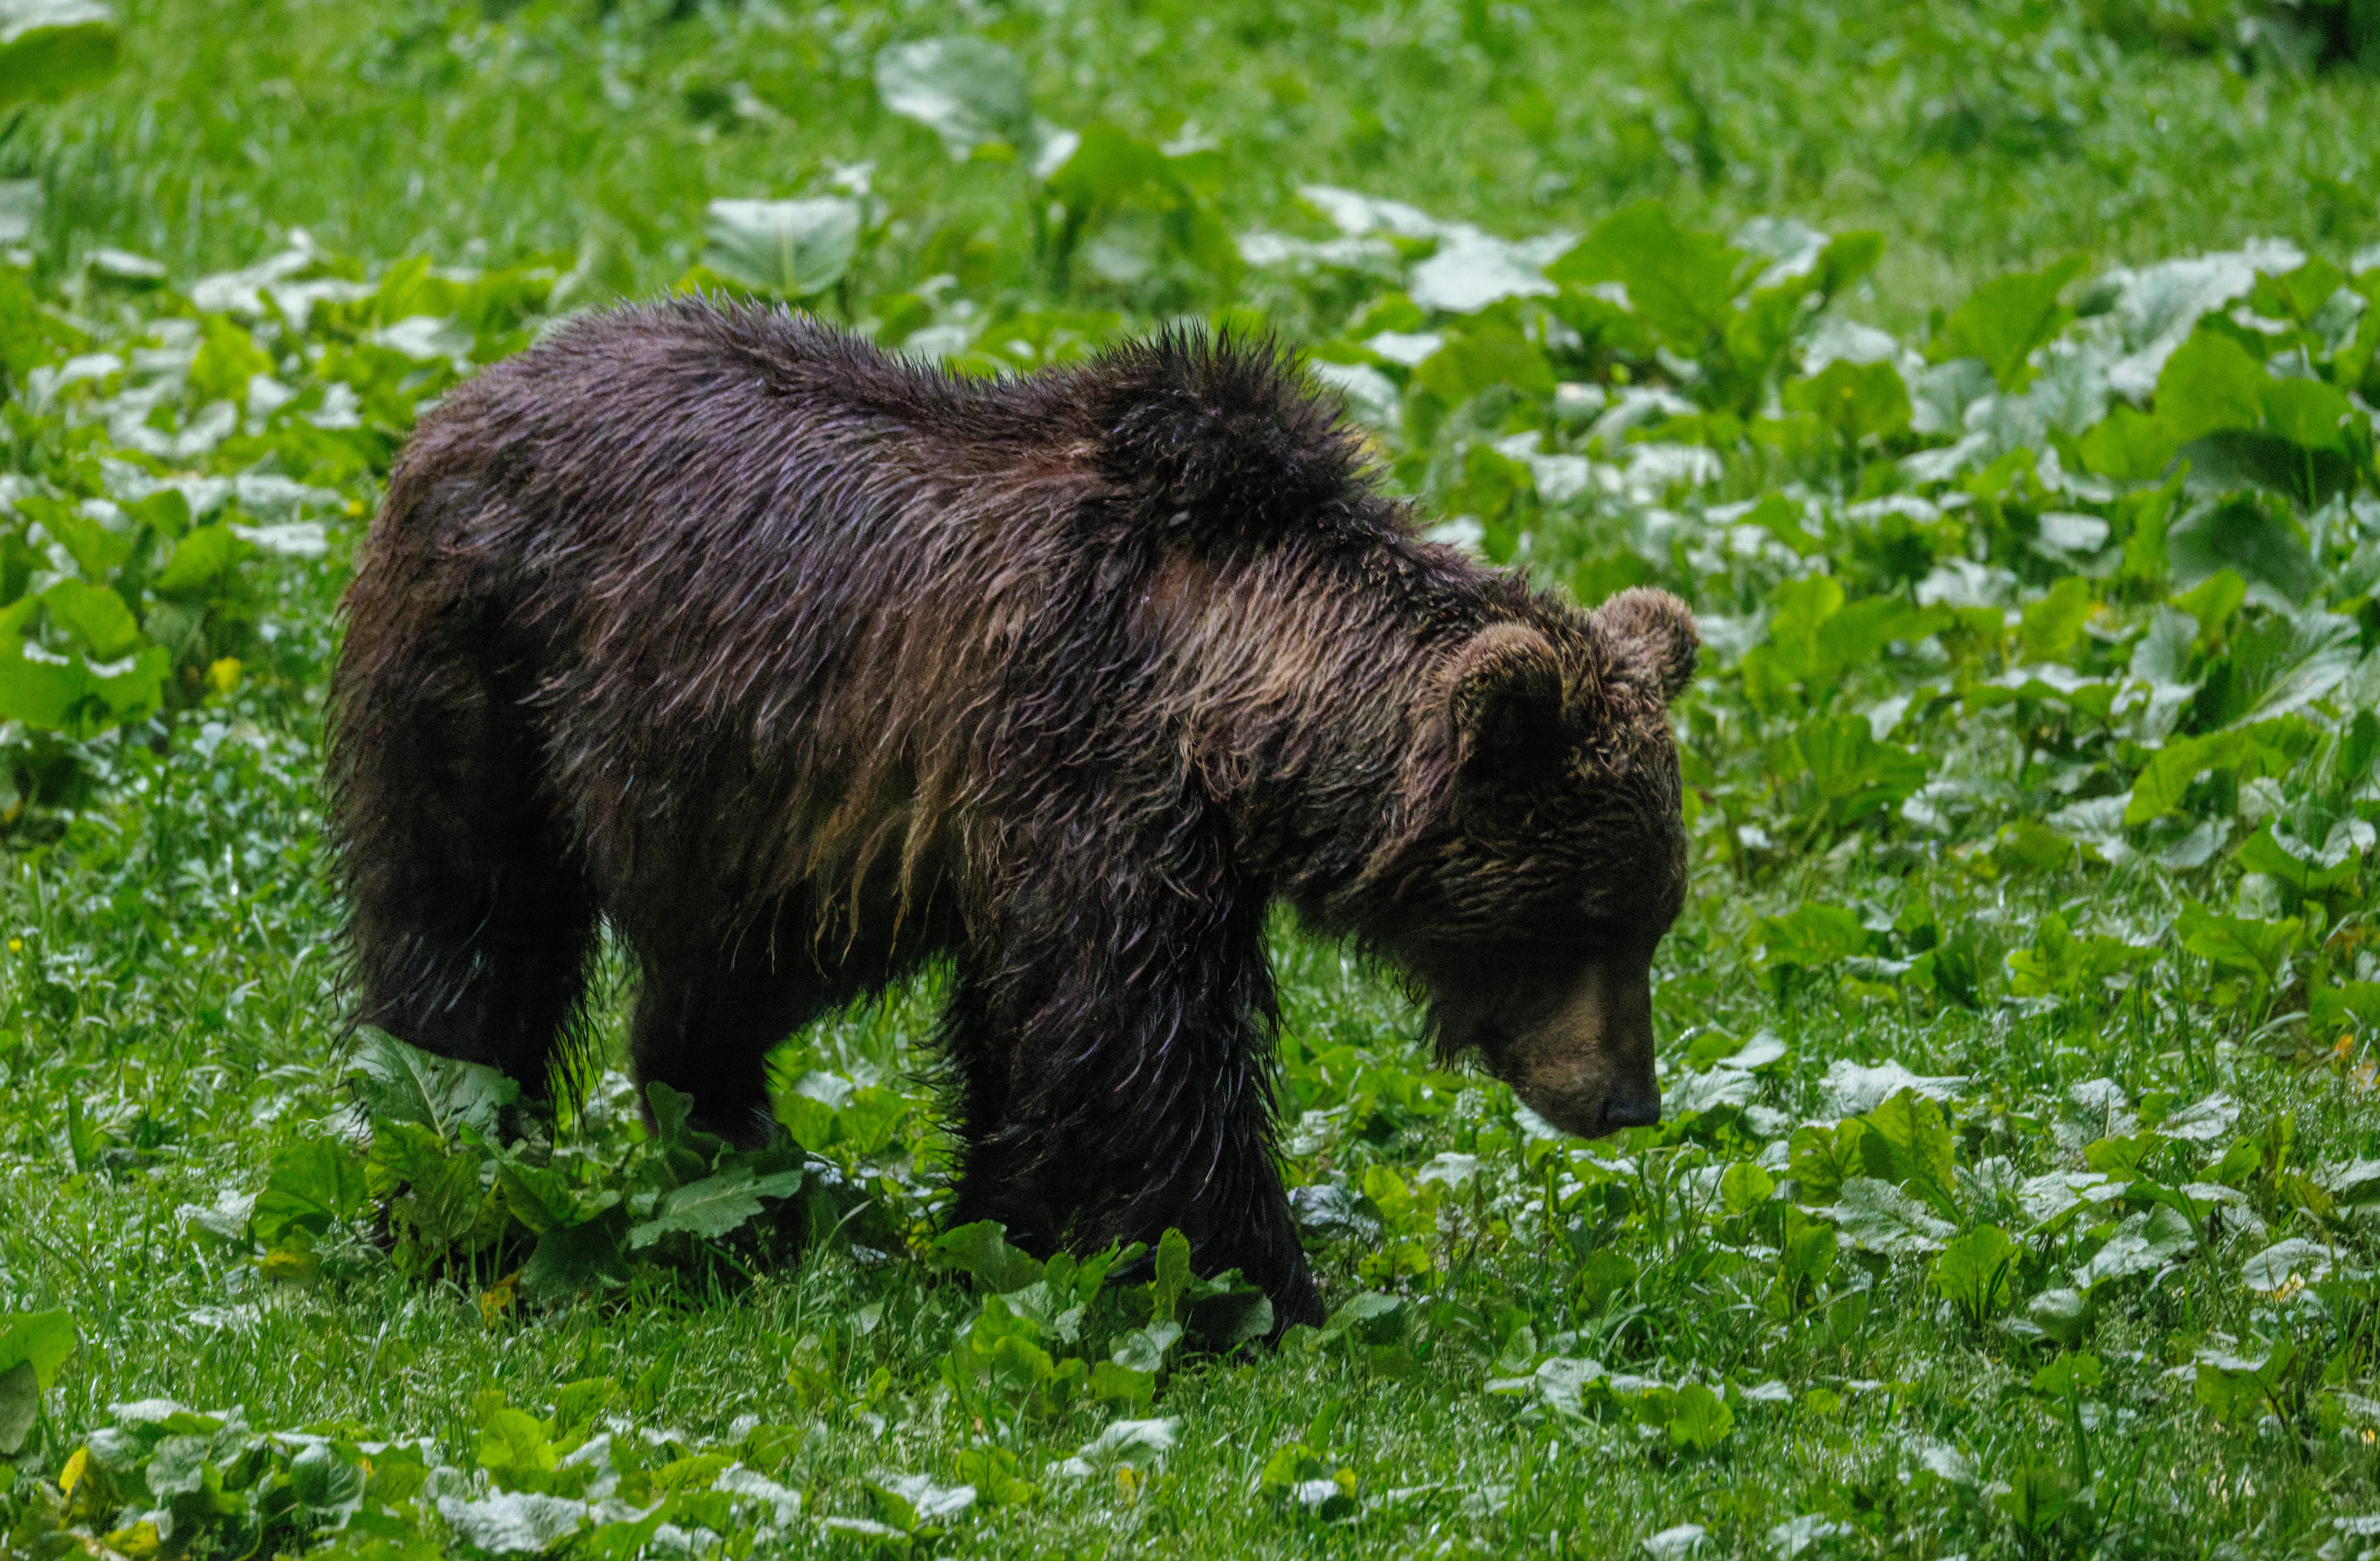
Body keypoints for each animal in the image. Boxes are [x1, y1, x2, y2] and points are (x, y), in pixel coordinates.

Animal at [329, 300, 1697, 1329]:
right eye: (1578, 918)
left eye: (1651, 920)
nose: (1627, 1099)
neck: (1220, 701)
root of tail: (467, 390)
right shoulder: (1083, 766)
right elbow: (1138, 1054)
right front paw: (1255, 1290)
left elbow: (1029, 1040)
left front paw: (1009, 1231)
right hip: (496, 672)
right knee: (467, 935)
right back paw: (452, 1183)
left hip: (741, 806)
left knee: (713, 995)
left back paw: (746, 1179)